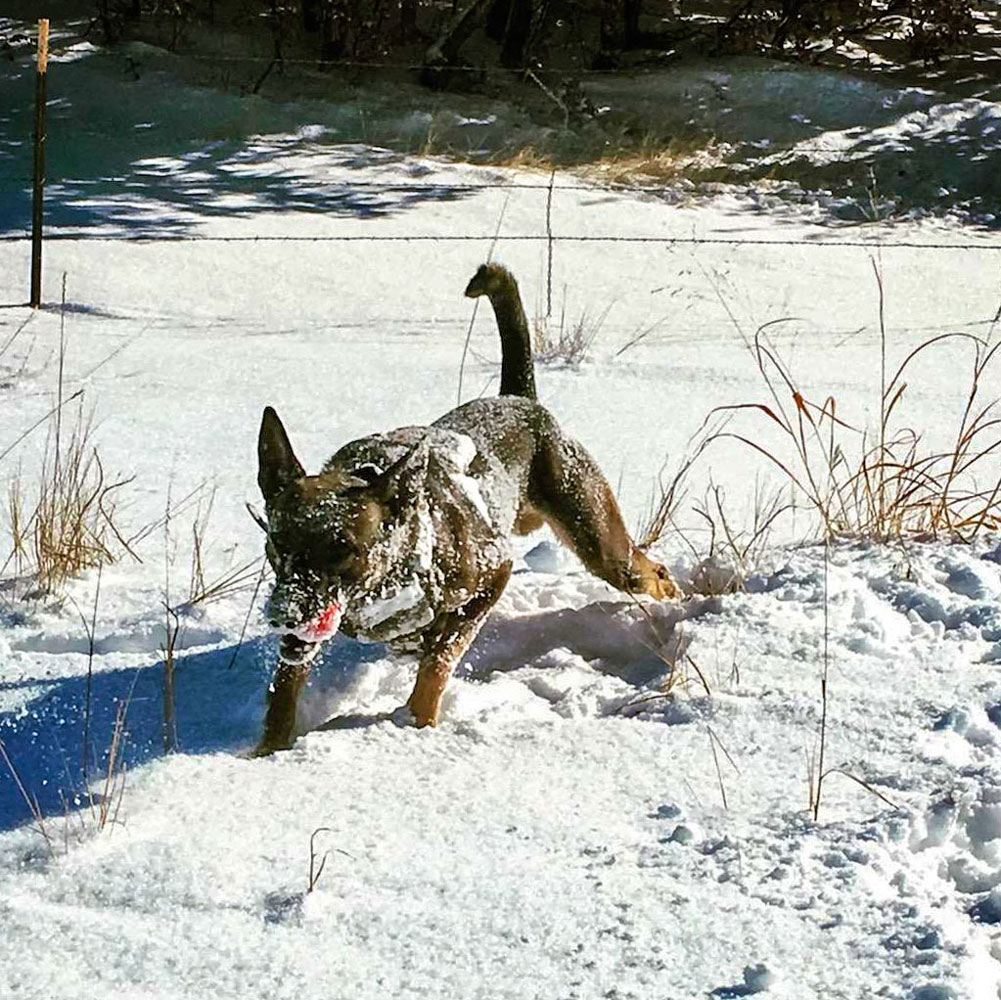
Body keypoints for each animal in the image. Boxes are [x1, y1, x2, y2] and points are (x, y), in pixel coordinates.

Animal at [254, 262, 684, 752]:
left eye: (343, 548)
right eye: (276, 544)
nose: (282, 614)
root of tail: (520, 400)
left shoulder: (490, 577)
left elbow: (438, 662)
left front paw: (416, 724)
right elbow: (285, 687)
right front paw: (267, 750)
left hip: (597, 535)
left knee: (651, 573)